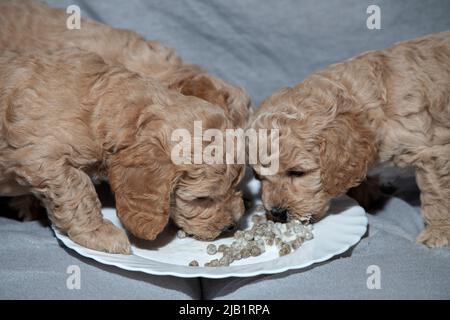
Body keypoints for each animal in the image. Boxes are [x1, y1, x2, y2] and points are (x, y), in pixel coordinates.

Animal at [0, 48, 246, 254]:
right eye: (202, 199)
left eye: (236, 184)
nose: (232, 225)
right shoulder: (43, 159)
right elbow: (78, 191)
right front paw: (101, 233)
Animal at [250, 31, 450, 248]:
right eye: (259, 177)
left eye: (297, 173)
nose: (276, 213)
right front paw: (363, 195)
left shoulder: (431, 153)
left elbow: (437, 193)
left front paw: (438, 230)